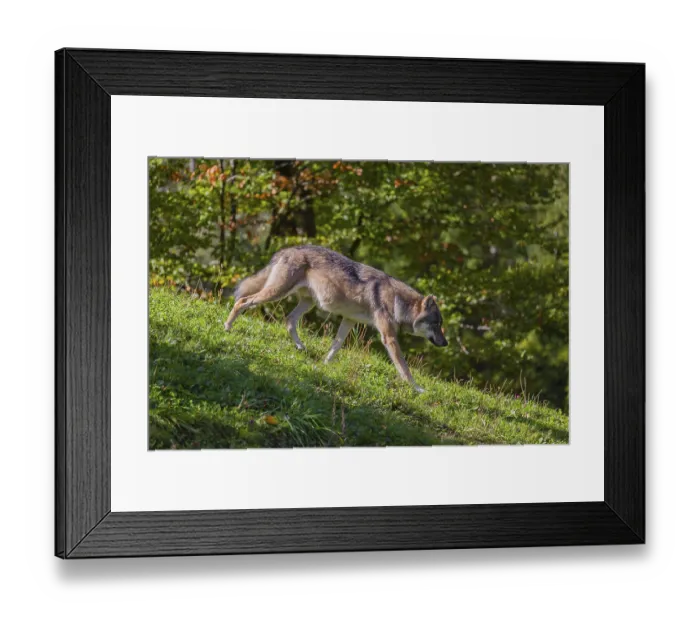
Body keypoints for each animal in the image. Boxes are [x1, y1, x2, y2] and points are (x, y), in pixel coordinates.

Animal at [224, 245, 448, 392]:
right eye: (436, 325)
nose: (445, 343)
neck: (396, 301)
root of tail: (287, 249)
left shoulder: (348, 320)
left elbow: (335, 346)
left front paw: (324, 365)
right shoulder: (388, 337)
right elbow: (404, 367)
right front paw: (416, 388)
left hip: (307, 302)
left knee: (288, 320)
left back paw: (300, 347)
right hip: (276, 293)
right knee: (242, 301)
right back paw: (227, 327)